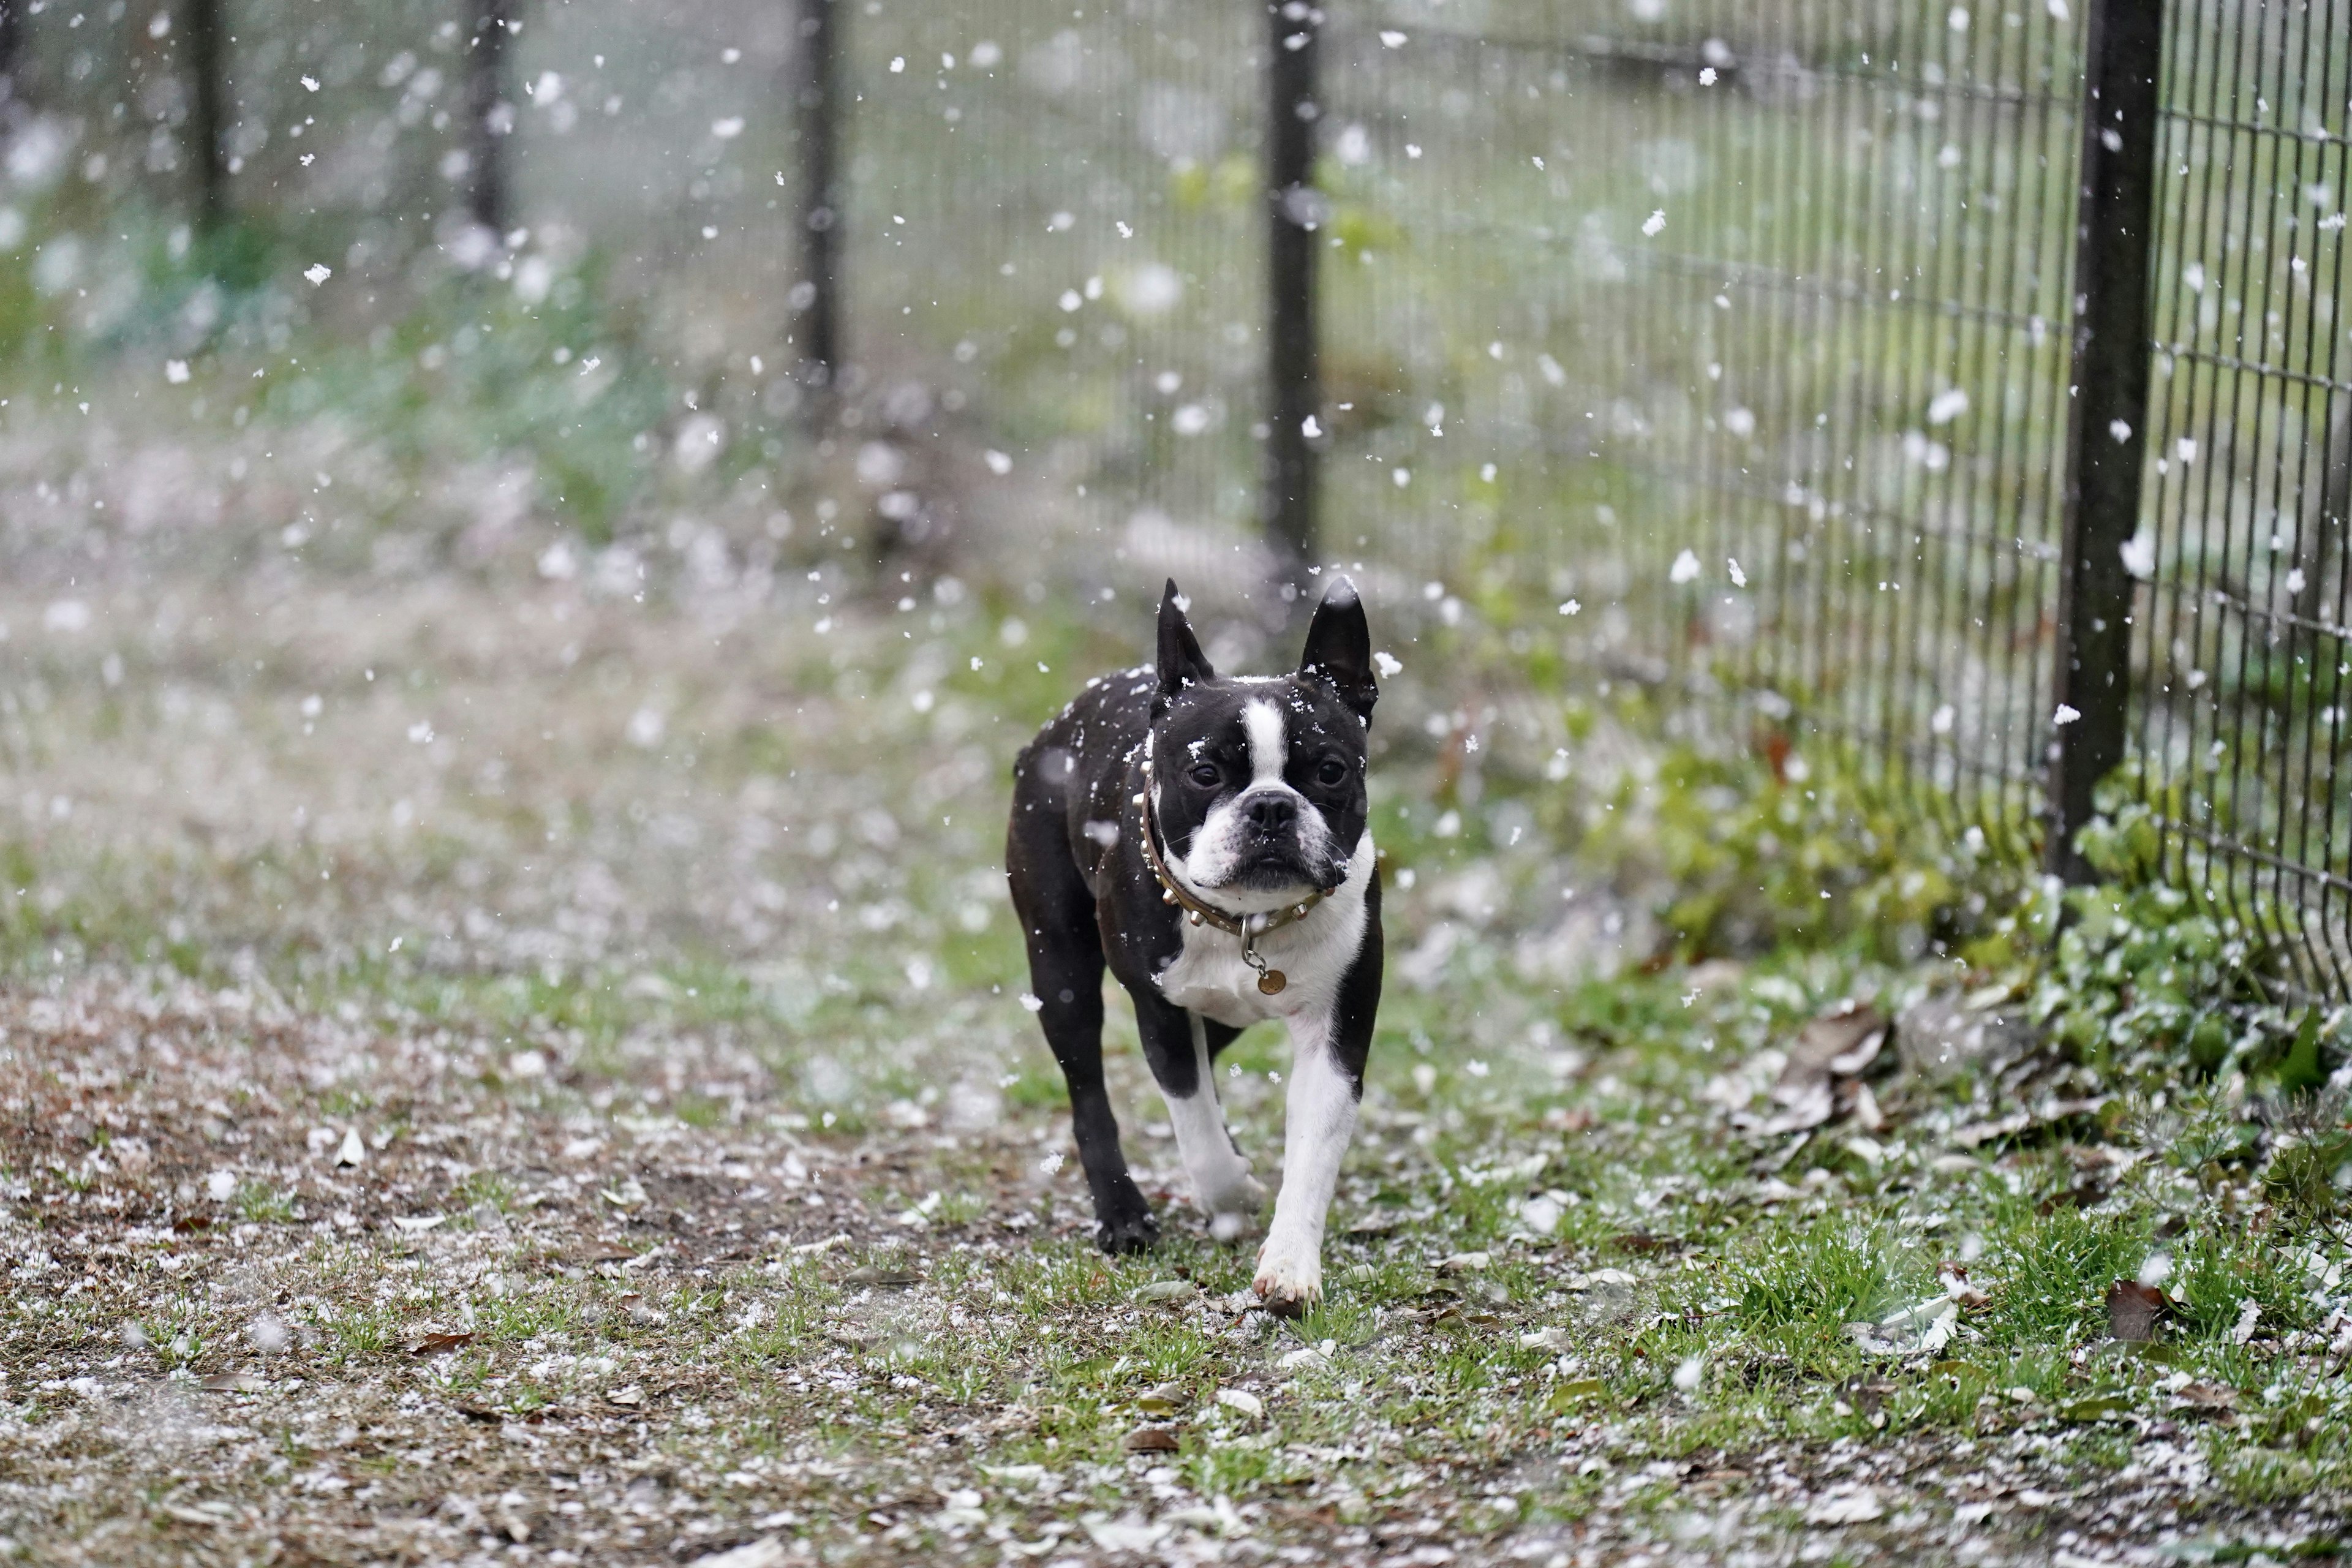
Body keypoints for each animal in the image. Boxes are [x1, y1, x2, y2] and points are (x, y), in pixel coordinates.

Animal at [1006, 576, 1373, 1316]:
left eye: (1330, 771)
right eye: (1205, 773)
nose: (1271, 806)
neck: (1248, 923)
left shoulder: (1338, 1034)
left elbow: (1312, 1151)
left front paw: (1290, 1267)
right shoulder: (1161, 1012)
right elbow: (1195, 1124)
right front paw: (1230, 1195)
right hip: (1059, 964)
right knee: (1088, 1088)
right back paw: (1123, 1215)